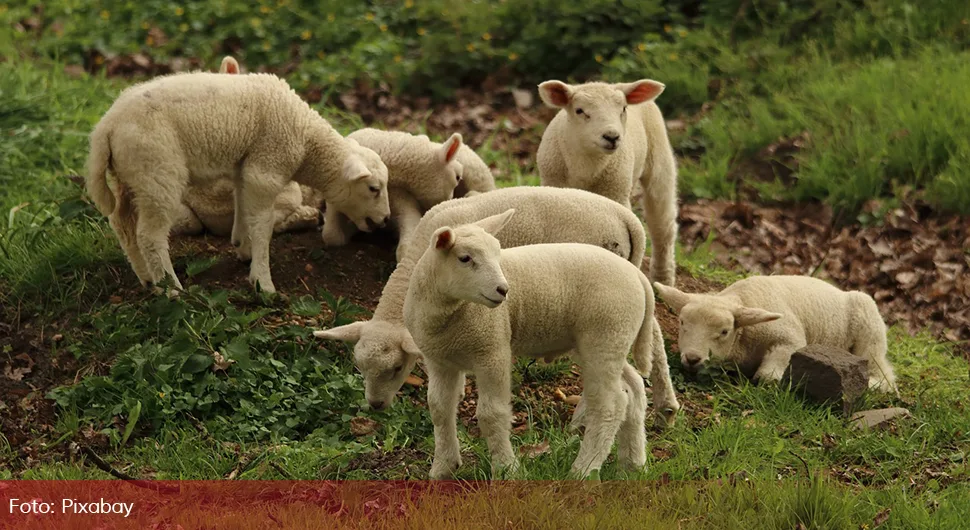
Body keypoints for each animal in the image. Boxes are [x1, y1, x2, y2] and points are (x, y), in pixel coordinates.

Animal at [314, 186, 676, 424]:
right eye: (360, 368)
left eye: (397, 368)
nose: (375, 406)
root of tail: (627, 218)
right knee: (654, 332)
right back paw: (667, 403)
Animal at [398, 209, 664, 478]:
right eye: (465, 258)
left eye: (498, 254)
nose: (503, 290)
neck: (448, 314)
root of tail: (637, 275)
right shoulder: (439, 361)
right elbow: (439, 409)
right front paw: (442, 468)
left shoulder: (492, 351)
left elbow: (492, 414)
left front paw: (506, 469)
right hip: (607, 341)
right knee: (634, 389)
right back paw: (633, 463)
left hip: (606, 334)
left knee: (610, 406)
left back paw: (583, 471)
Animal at [528, 78, 680, 284]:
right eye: (580, 110)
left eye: (623, 109)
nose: (612, 137)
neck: (587, 166)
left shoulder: (616, 192)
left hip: (659, 160)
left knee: (662, 226)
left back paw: (662, 279)